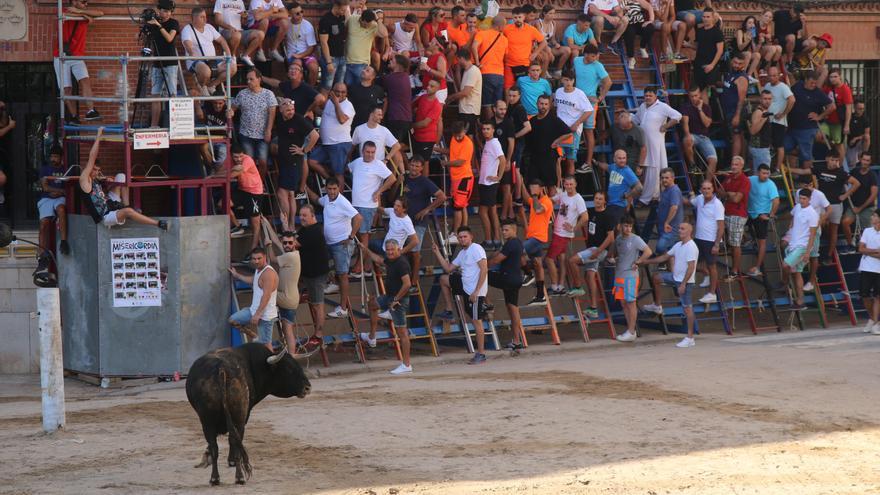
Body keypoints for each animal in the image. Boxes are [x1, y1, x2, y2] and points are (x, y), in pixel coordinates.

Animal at [184, 342, 312, 486]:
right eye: (289, 369)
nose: (308, 387)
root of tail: (221, 369)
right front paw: (230, 461)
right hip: (238, 417)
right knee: (234, 441)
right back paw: (239, 477)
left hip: (207, 420)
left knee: (215, 445)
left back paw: (215, 479)